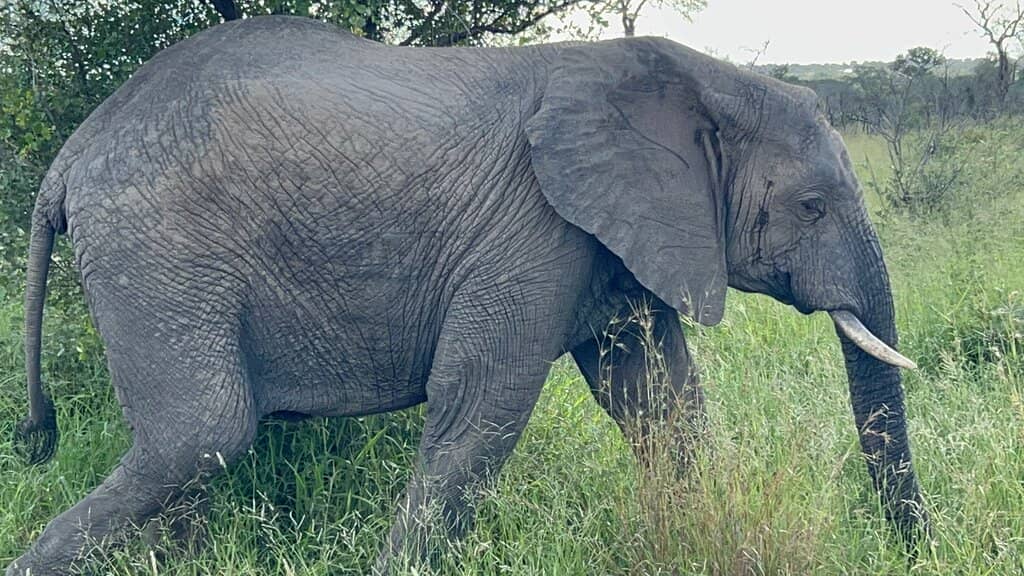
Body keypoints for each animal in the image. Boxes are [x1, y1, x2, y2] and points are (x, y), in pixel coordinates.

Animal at [8, 15, 927, 575]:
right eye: (811, 207)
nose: (911, 548)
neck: (690, 78)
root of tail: (71, 152)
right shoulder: (532, 227)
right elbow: (480, 407)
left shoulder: (614, 235)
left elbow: (659, 399)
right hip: (159, 251)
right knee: (202, 434)